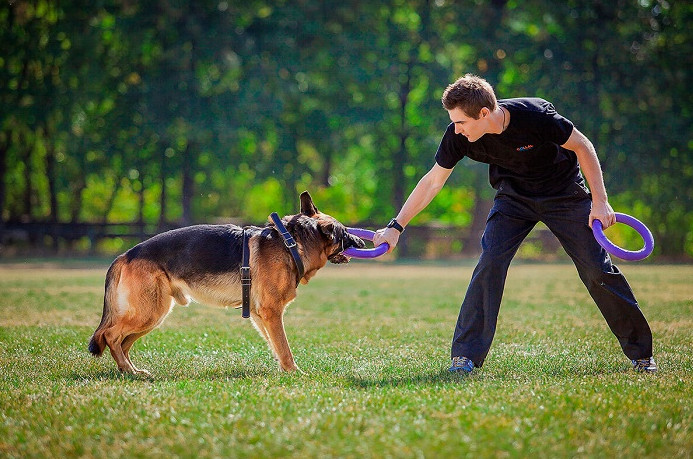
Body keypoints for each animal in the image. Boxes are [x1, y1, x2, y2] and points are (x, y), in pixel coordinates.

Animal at [89, 192, 364, 376]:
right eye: (344, 233)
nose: (362, 242)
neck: (291, 244)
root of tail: (125, 254)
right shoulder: (272, 312)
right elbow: (284, 346)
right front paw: (295, 372)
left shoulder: (261, 315)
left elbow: (275, 345)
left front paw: (284, 371)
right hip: (150, 312)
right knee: (110, 335)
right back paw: (128, 370)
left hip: (153, 314)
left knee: (122, 342)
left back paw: (130, 370)